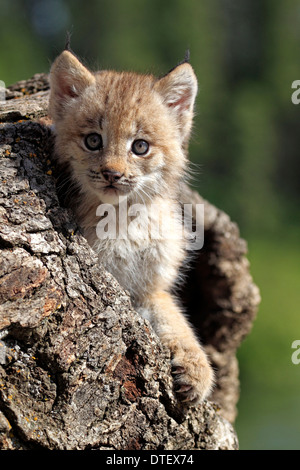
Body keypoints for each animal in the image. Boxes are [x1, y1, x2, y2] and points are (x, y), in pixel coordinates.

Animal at [48, 47, 213, 402]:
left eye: (140, 146)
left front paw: (197, 367)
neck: (125, 217)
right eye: (93, 141)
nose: (112, 173)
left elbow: (173, 315)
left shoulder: (149, 288)